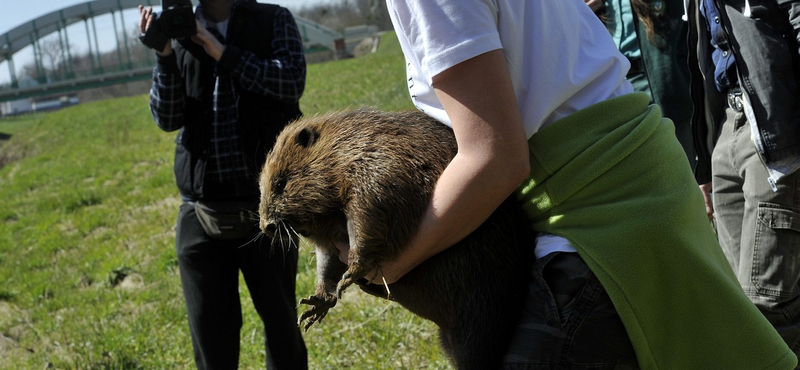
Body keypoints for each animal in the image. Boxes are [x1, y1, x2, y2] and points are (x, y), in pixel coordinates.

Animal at [260, 108, 536, 368]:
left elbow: (368, 211)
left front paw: (351, 274)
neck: (345, 142)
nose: (266, 226)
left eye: (281, 182)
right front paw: (314, 306)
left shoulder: (378, 163)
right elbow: (326, 259)